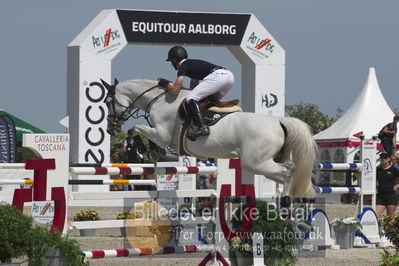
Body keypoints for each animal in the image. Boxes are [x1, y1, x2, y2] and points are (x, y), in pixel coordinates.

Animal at [103, 78, 318, 198]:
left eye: (107, 101)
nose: (111, 129)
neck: (159, 100)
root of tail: (279, 122)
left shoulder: (161, 134)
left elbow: (137, 128)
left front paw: (153, 152)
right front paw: (153, 152)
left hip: (255, 162)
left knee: (288, 171)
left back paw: (286, 203)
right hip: (265, 162)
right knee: (286, 172)